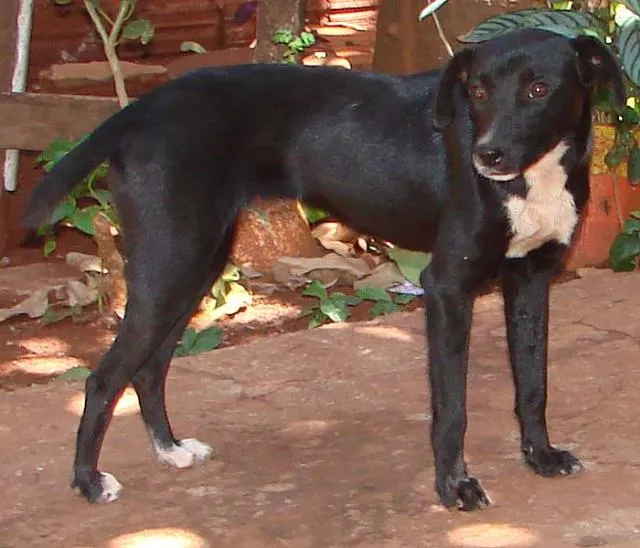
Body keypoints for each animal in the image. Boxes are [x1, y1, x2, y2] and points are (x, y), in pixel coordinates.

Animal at [22, 30, 624, 510]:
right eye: (476, 91)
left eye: (539, 89)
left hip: (193, 264)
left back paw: (169, 450)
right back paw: (88, 481)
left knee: (148, 367)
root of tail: (140, 109)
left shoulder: (532, 281)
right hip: (171, 262)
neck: (531, 179)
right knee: (104, 377)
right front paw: (454, 487)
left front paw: (541, 456)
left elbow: (534, 383)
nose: (488, 155)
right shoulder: (447, 288)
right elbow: (452, 407)